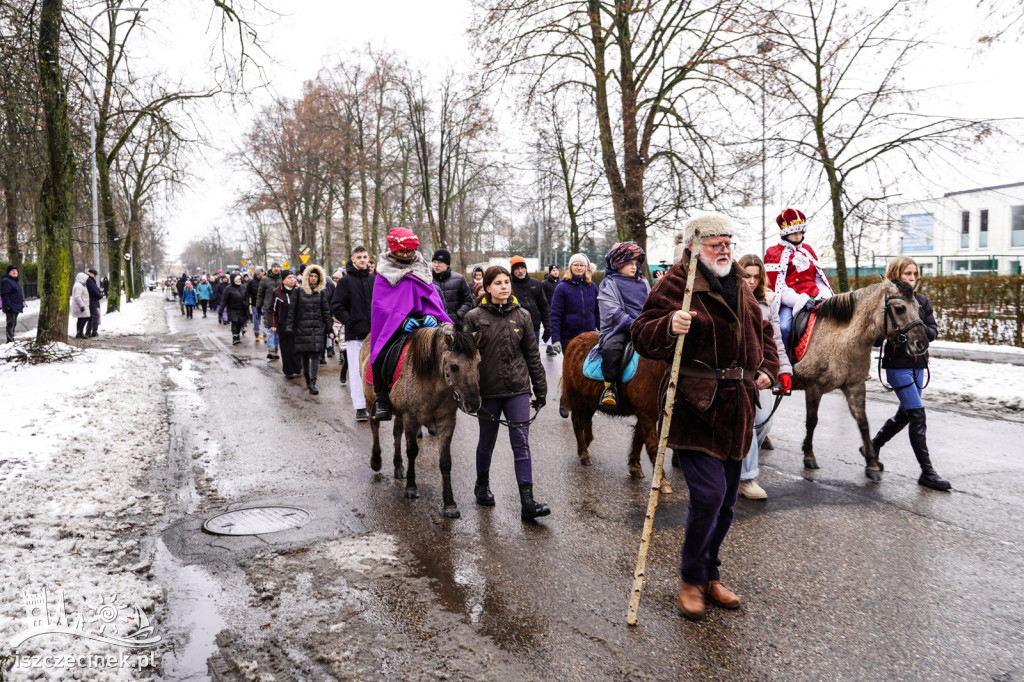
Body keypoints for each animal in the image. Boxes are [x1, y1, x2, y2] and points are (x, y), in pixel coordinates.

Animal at [360, 323, 483, 516]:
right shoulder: (411, 418)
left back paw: (398, 466)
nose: (473, 404)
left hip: (399, 413)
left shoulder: (446, 421)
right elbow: (412, 452)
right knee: (375, 427)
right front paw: (411, 488)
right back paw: (376, 460)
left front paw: (449, 503)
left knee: (396, 433)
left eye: (478, 363)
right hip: (370, 400)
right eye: (454, 366)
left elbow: (445, 461)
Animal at [561, 329, 671, 493]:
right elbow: (652, 446)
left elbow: (638, 439)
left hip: (589, 401)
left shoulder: (645, 414)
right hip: (577, 398)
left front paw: (634, 466)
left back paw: (586, 444)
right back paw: (584, 454)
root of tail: (576, 340)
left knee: (587, 422)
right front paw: (662, 480)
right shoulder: (647, 415)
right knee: (578, 424)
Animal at [790, 276, 929, 477]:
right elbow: (812, 421)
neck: (840, 339)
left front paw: (872, 463)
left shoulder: (855, 385)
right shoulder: (813, 386)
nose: (922, 344)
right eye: (899, 308)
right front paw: (809, 455)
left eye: (918, 307)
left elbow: (863, 423)